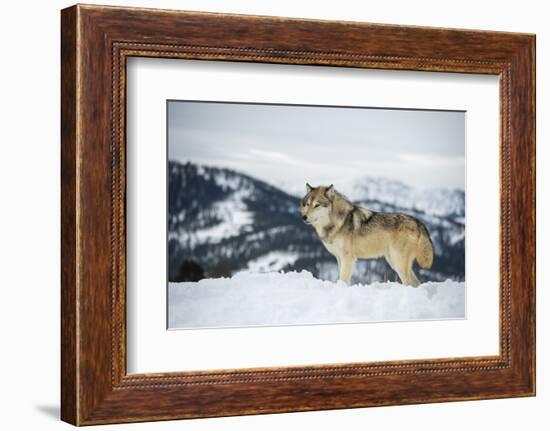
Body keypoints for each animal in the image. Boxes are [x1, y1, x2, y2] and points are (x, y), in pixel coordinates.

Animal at [302, 183, 436, 286]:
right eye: (307, 204)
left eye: (317, 205)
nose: (304, 217)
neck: (338, 222)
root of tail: (418, 222)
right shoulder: (339, 258)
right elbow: (339, 278)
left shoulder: (347, 258)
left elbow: (343, 280)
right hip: (394, 262)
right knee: (416, 283)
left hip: (398, 263)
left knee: (409, 283)